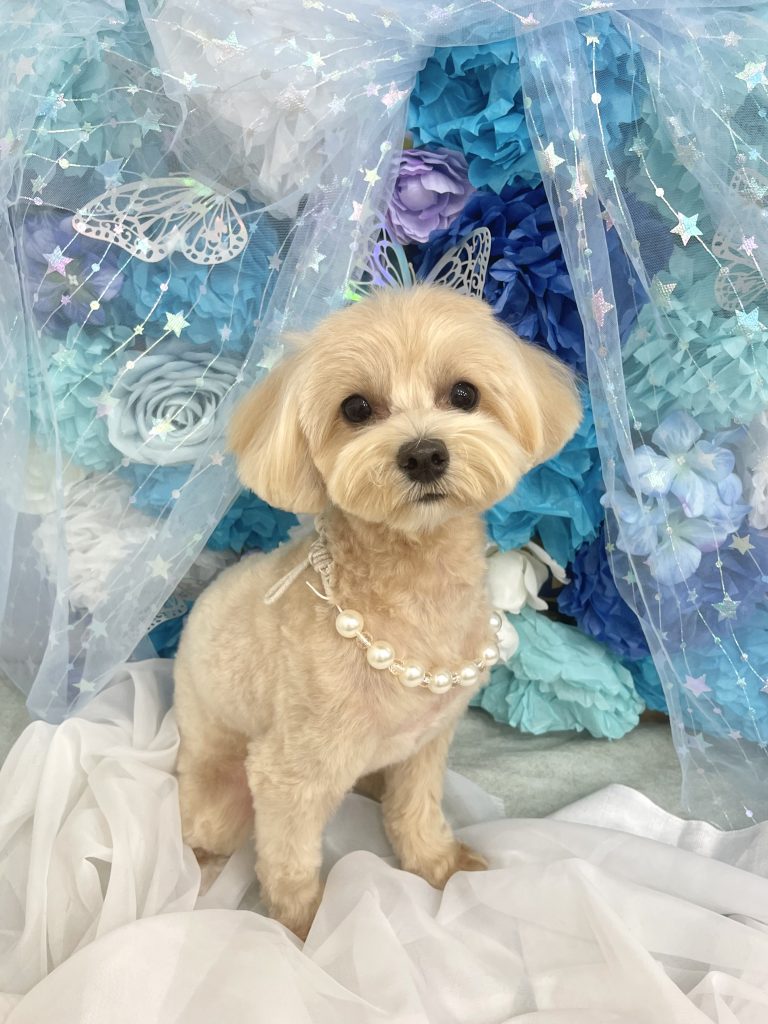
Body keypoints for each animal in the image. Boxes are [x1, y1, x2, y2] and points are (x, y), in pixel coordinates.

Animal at [173, 285, 581, 939]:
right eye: (356, 407)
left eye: (463, 394)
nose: (424, 454)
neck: (414, 593)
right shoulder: (289, 773)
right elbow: (289, 860)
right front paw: (307, 928)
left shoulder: (427, 744)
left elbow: (415, 810)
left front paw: (438, 864)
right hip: (219, 789)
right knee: (206, 830)